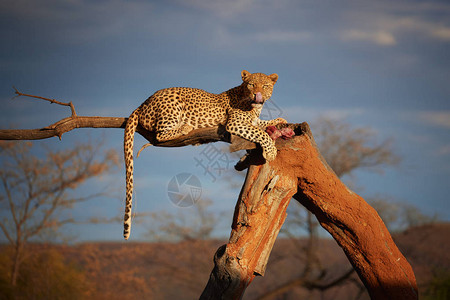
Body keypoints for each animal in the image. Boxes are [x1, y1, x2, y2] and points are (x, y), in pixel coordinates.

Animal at [121, 69, 286, 239]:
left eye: (265, 86)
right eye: (251, 85)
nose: (256, 94)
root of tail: (143, 103)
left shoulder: (252, 121)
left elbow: (261, 124)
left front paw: (279, 120)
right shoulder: (235, 123)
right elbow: (260, 132)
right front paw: (271, 151)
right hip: (172, 105)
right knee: (160, 135)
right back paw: (185, 127)